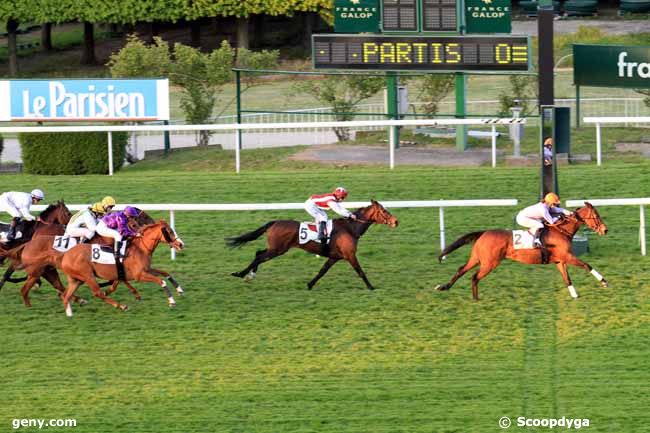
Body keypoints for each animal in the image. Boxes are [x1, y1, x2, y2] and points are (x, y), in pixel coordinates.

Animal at [225, 199, 398, 290]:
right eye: (384, 211)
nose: (396, 221)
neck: (350, 228)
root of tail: (274, 222)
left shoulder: (335, 257)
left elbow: (322, 271)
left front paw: (310, 284)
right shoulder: (350, 255)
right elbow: (361, 271)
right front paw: (371, 287)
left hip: (275, 248)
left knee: (258, 253)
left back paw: (249, 275)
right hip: (278, 249)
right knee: (260, 257)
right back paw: (241, 274)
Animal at [432, 202, 604, 300]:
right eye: (596, 216)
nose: (605, 230)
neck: (561, 231)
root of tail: (483, 233)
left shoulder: (559, 261)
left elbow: (567, 279)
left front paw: (574, 295)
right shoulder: (567, 256)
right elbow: (587, 265)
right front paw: (604, 282)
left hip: (477, 259)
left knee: (461, 270)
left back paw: (444, 287)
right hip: (489, 263)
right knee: (475, 277)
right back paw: (475, 299)